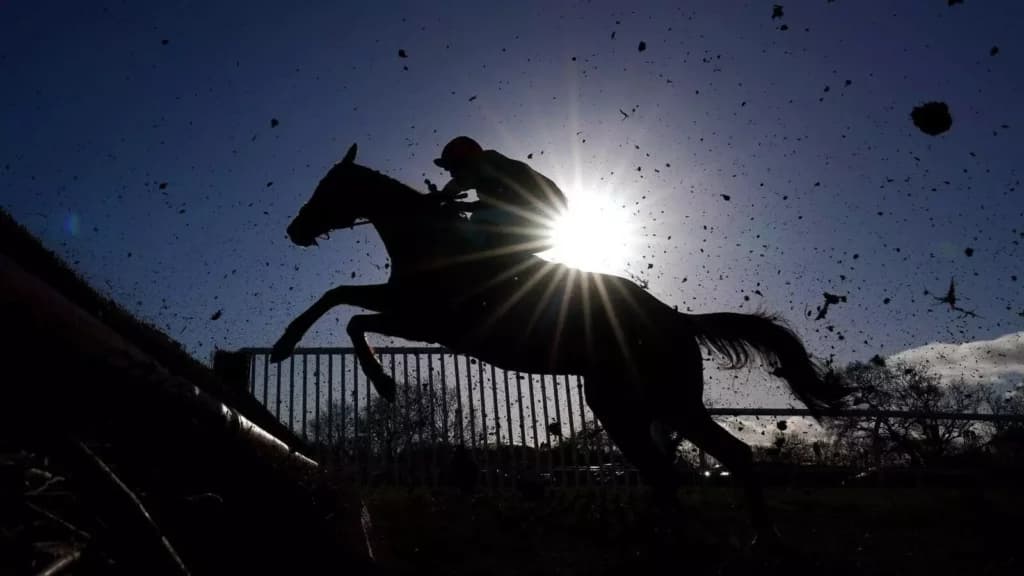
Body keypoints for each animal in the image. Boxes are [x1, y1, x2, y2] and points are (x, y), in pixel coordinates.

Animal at [271, 143, 848, 543]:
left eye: (329, 187)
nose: (294, 229)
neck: (432, 238)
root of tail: (678, 320)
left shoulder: (428, 322)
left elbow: (351, 315)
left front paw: (381, 381)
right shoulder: (408, 308)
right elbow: (340, 300)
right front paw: (287, 345)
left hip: (667, 401)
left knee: (728, 456)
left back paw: (762, 537)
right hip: (622, 404)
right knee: (664, 471)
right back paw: (668, 536)